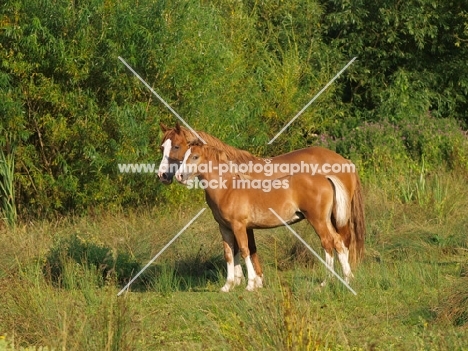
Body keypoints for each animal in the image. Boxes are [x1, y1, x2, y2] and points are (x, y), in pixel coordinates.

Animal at [176, 143, 354, 292]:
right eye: (184, 155)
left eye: (195, 156)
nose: (179, 176)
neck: (228, 189)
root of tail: (325, 177)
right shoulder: (225, 228)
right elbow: (229, 253)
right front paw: (227, 286)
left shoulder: (239, 226)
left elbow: (245, 251)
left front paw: (250, 285)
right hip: (326, 220)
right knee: (338, 241)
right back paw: (347, 278)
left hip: (317, 220)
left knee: (327, 243)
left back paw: (327, 281)